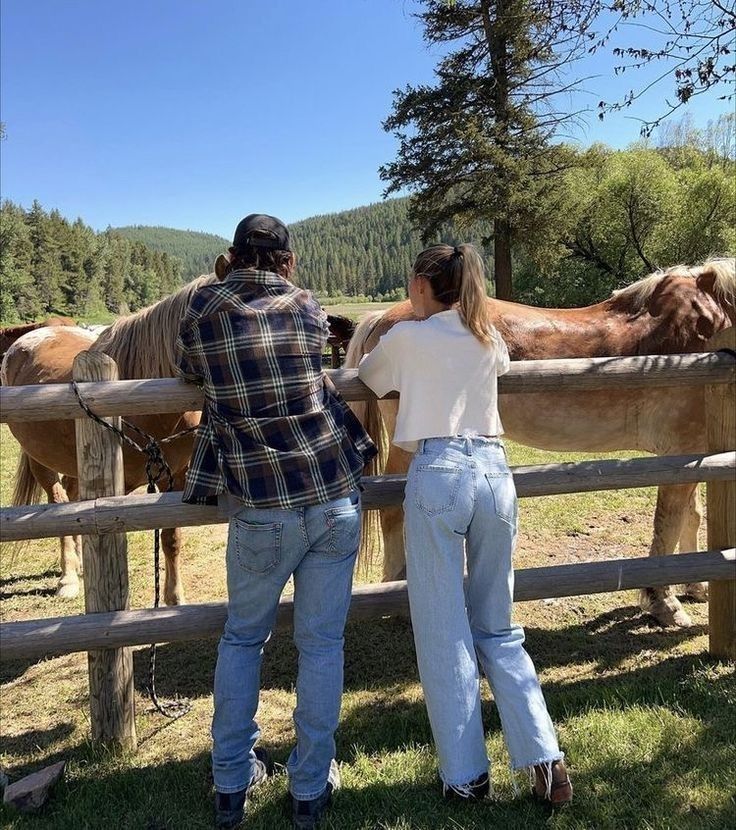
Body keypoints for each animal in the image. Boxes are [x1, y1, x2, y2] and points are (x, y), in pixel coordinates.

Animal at [344, 256, 736, 628]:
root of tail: (383, 318)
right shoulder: (680, 452)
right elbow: (668, 523)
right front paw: (663, 603)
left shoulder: (695, 454)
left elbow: (691, 517)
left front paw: (696, 585)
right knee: (392, 510)